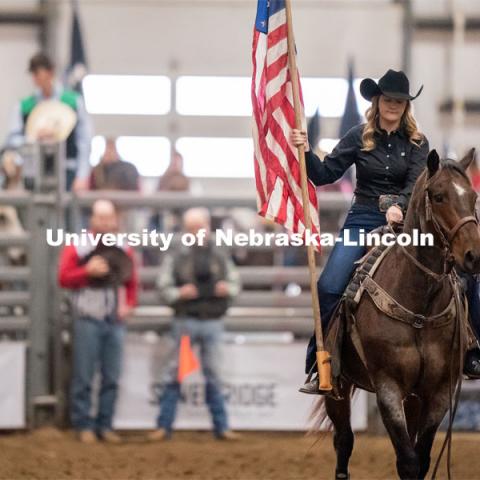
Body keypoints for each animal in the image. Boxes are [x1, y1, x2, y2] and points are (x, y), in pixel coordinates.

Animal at [320, 148, 480, 478]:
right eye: (439, 196)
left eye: (473, 196)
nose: (474, 255)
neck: (421, 308)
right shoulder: (388, 388)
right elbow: (407, 461)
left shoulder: (439, 392)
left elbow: (422, 459)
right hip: (337, 387)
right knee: (343, 440)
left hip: (415, 398)